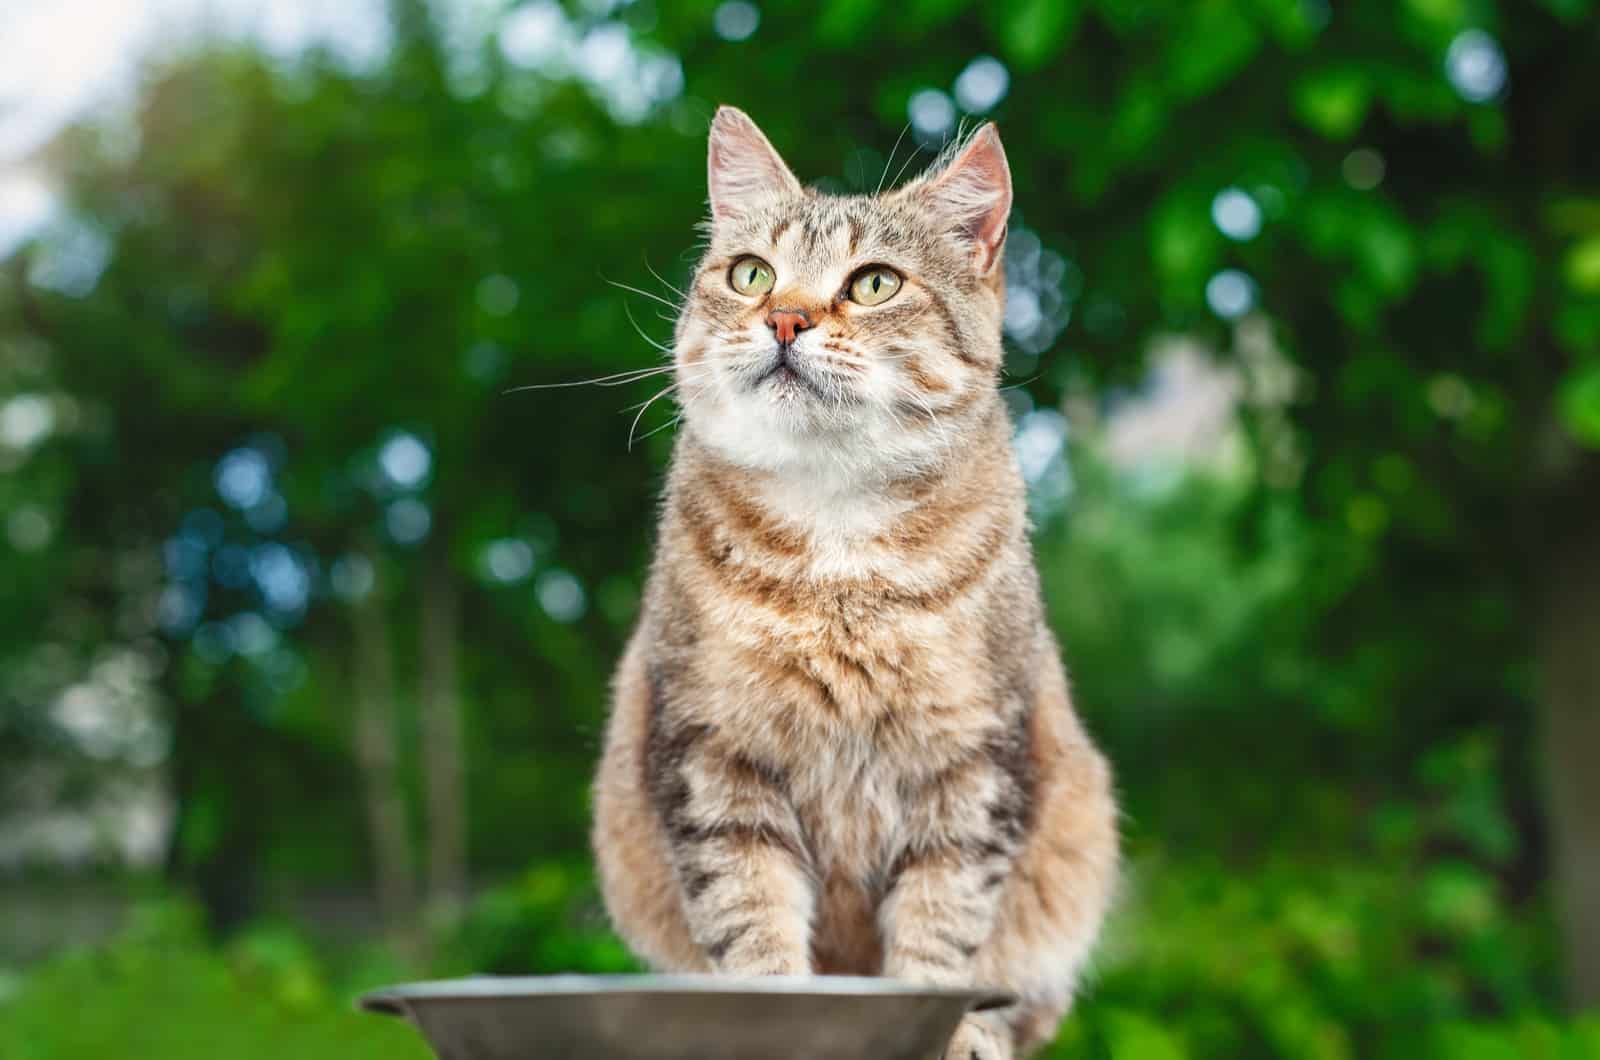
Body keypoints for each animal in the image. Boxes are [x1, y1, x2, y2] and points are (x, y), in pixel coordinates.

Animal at [595, 108, 1120, 1060]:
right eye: (752, 274)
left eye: (874, 283)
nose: (786, 319)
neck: (836, 538)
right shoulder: (712, 759)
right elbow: (752, 923)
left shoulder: (972, 766)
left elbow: (939, 937)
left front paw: (946, 1029)